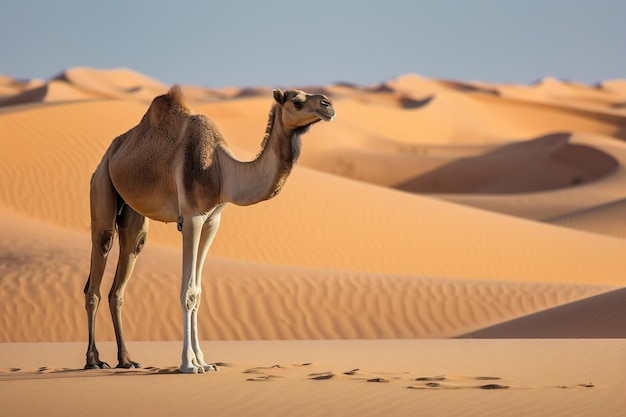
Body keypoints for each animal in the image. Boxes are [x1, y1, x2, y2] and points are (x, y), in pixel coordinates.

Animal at [85, 86, 334, 372]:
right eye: (297, 101)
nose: (328, 105)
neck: (221, 170)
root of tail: (109, 153)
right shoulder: (192, 217)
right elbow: (187, 292)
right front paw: (188, 364)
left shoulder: (213, 220)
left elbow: (198, 292)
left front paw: (204, 362)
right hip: (101, 183)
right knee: (98, 264)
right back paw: (93, 360)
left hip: (132, 211)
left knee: (124, 270)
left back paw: (126, 360)